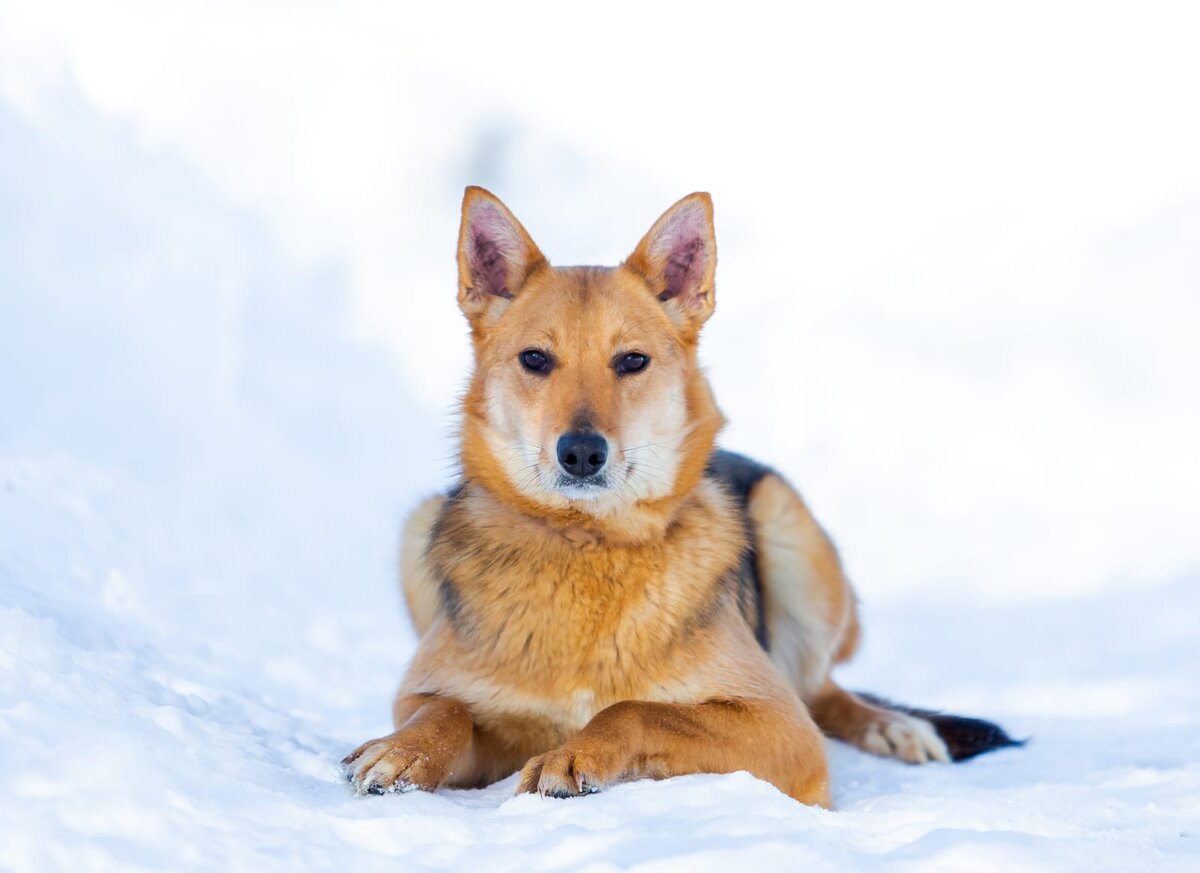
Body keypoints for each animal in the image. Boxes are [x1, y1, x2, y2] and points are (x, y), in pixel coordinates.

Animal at [343, 187, 1017, 805]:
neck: (588, 544)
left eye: (631, 361)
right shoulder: (433, 694)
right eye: (534, 359)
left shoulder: (783, 727)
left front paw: (575, 753)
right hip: (418, 527)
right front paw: (403, 751)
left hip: (788, 524)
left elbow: (635, 709)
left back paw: (893, 728)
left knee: (822, 689)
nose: (581, 453)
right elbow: (447, 710)